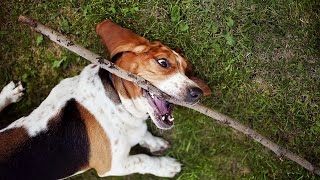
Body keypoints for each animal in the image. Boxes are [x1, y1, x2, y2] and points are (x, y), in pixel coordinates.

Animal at [0, 19, 211, 179]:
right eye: (163, 62)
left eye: (187, 71)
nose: (197, 93)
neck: (116, 100)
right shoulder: (112, 166)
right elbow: (144, 159)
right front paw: (166, 166)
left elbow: (143, 133)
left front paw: (154, 143)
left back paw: (10, 93)